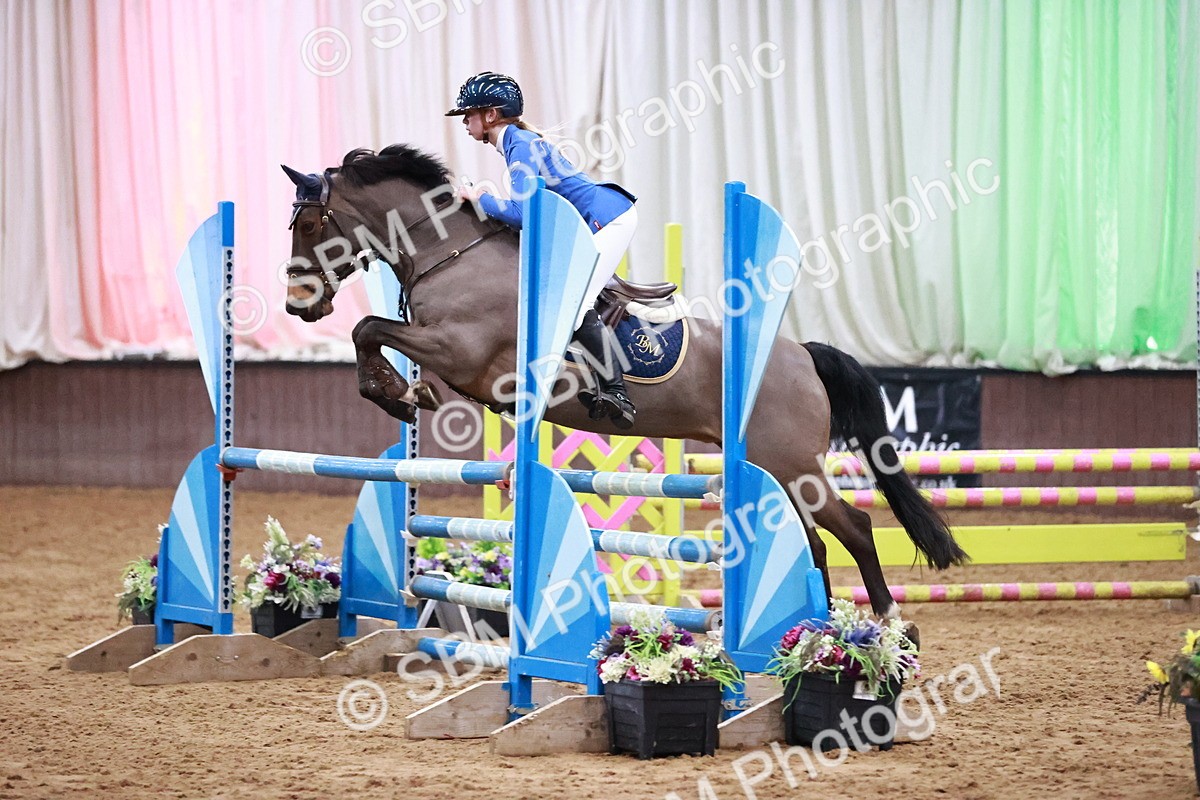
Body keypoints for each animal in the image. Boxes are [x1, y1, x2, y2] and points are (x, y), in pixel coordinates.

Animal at [280, 144, 969, 623]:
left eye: (310, 226)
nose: (298, 308)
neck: (450, 254)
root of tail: (799, 353)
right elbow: (372, 333)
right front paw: (403, 394)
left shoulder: (460, 350)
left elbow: (368, 328)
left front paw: (400, 394)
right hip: (775, 471)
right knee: (817, 545)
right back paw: (815, 633)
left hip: (792, 462)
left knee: (853, 527)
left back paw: (887, 627)